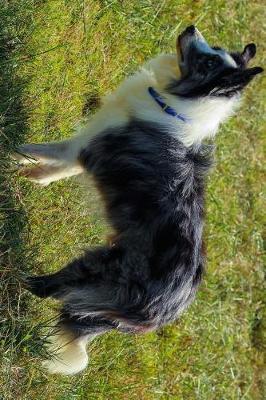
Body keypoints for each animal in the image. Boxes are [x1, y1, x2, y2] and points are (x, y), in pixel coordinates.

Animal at [15, 25, 262, 376]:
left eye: (208, 61)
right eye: (213, 50)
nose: (190, 27)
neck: (174, 102)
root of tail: (169, 309)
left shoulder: (82, 145)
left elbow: (42, 150)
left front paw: (15, 153)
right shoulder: (84, 149)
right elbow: (54, 171)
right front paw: (33, 176)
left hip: (100, 269)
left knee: (50, 289)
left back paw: (19, 277)